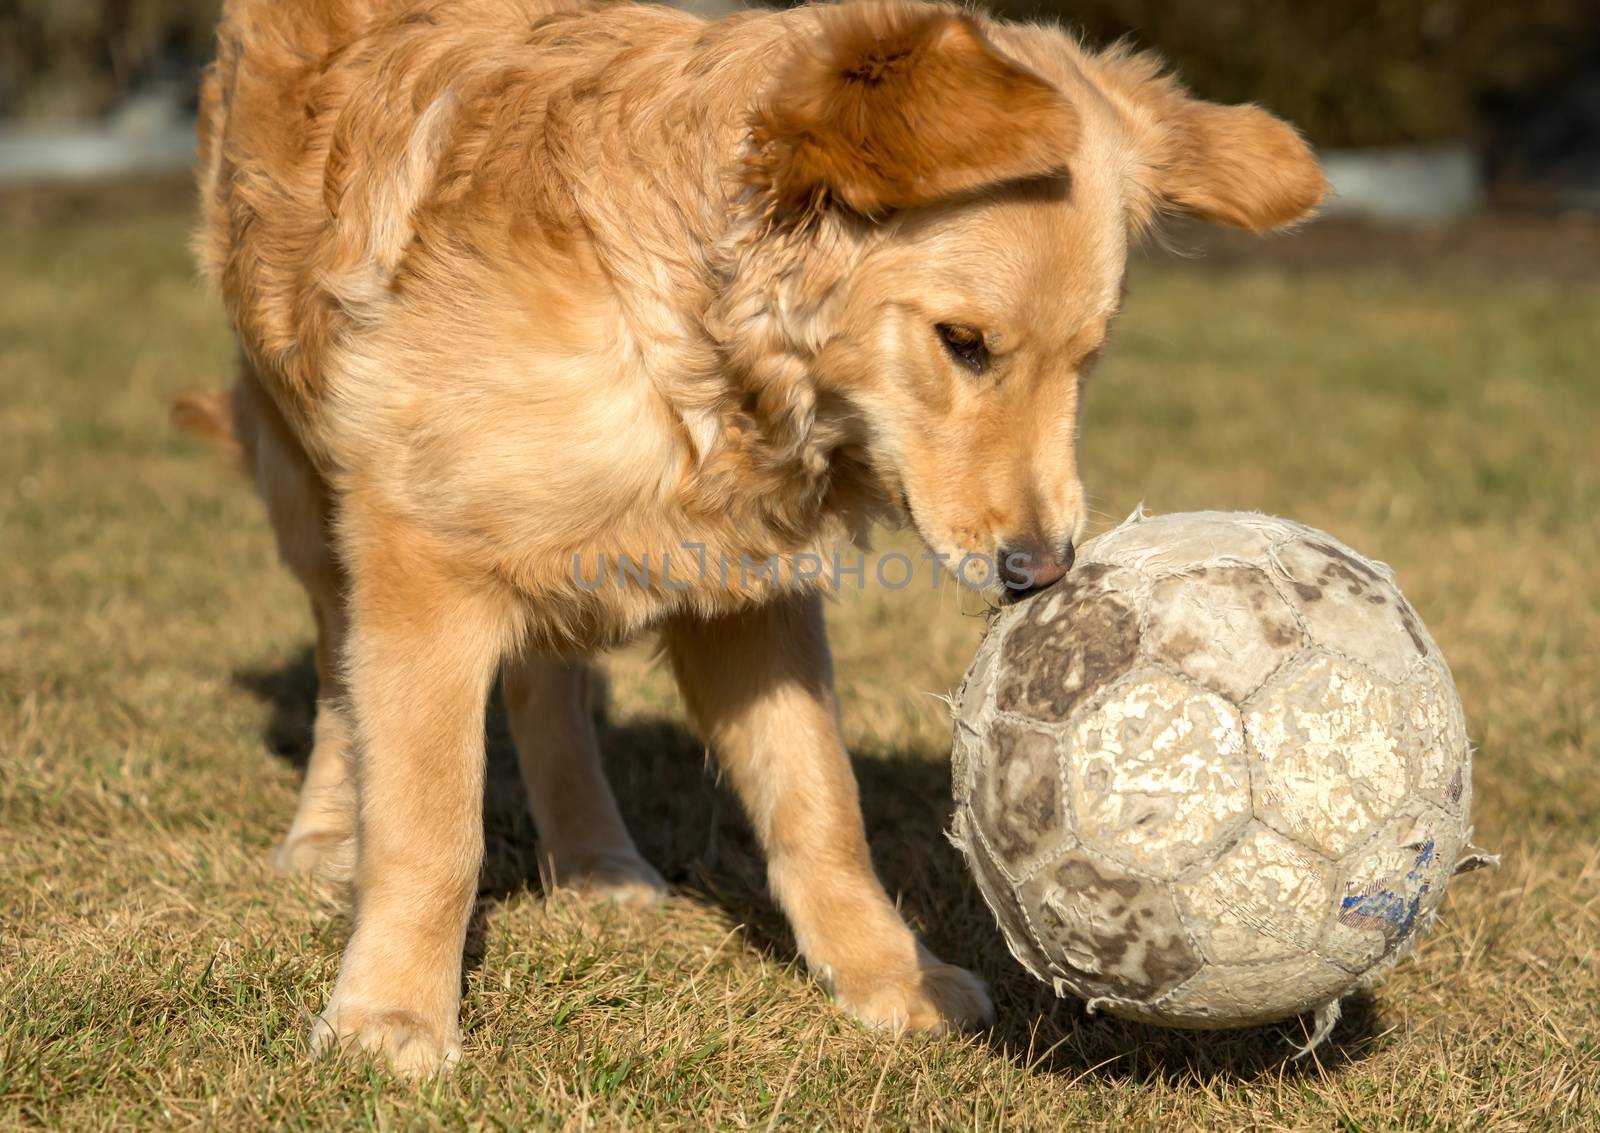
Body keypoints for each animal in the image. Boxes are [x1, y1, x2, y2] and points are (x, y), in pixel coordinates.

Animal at [178, 0, 1324, 1068]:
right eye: (963, 343)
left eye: (1086, 360)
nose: (1041, 571)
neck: (685, 332)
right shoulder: (423, 550)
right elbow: (429, 821)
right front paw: (391, 1014)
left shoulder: (747, 586)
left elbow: (818, 801)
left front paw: (888, 973)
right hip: (309, 477)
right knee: (341, 668)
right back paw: (329, 832)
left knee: (546, 682)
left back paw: (593, 855)